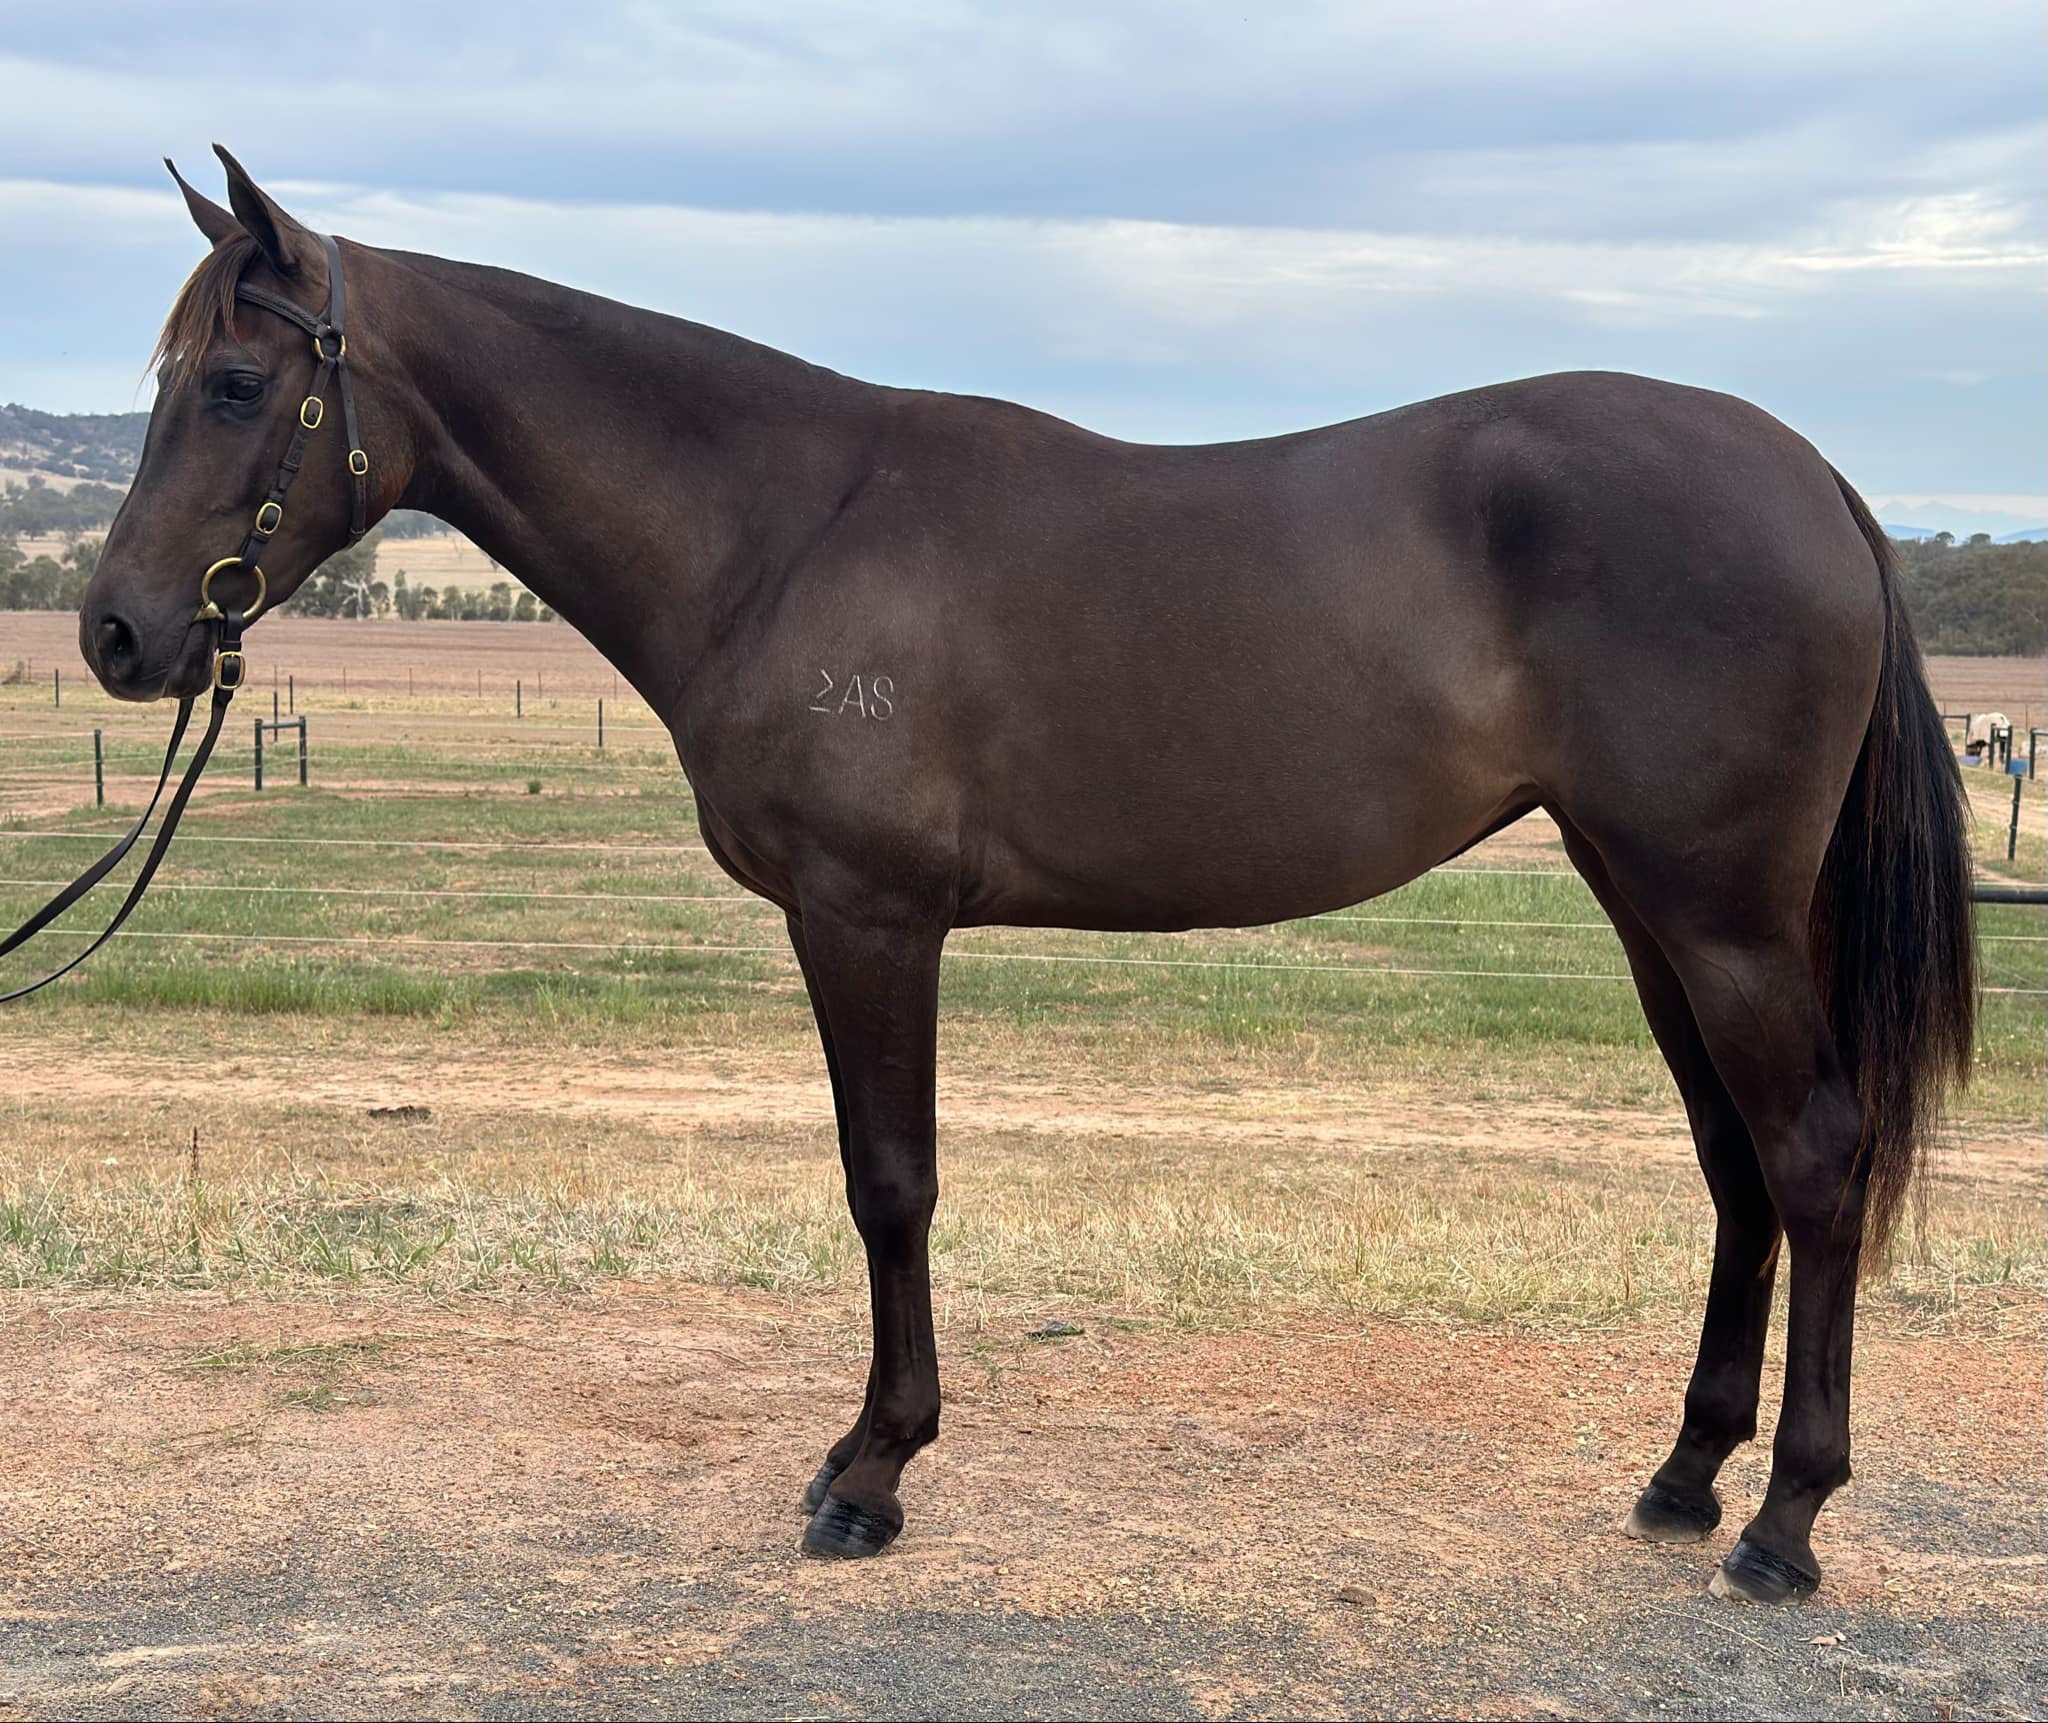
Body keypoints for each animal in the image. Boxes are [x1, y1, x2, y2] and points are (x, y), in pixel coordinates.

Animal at [74, 148, 1975, 1603]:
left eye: (235, 384)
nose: (115, 634)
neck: (783, 528)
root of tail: (1814, 478)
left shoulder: (867, 918)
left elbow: (888, 1183)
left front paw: (873, 1472)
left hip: (1720, 915)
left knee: (1811, 1157)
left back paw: (1785, 1523)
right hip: (1651, 905)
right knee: (1737, 1167)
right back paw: (1685, 1474)